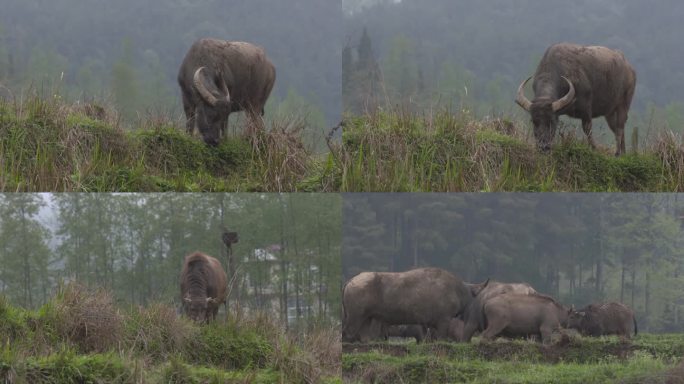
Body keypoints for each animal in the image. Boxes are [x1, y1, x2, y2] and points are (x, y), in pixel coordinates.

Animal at [344, 268, 472, 342]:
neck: (457, 290)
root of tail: (350, 281)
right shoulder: (443, 320)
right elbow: (441, 336)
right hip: (355, 316)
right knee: (349, 332)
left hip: (367, 317)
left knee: (363, 333)